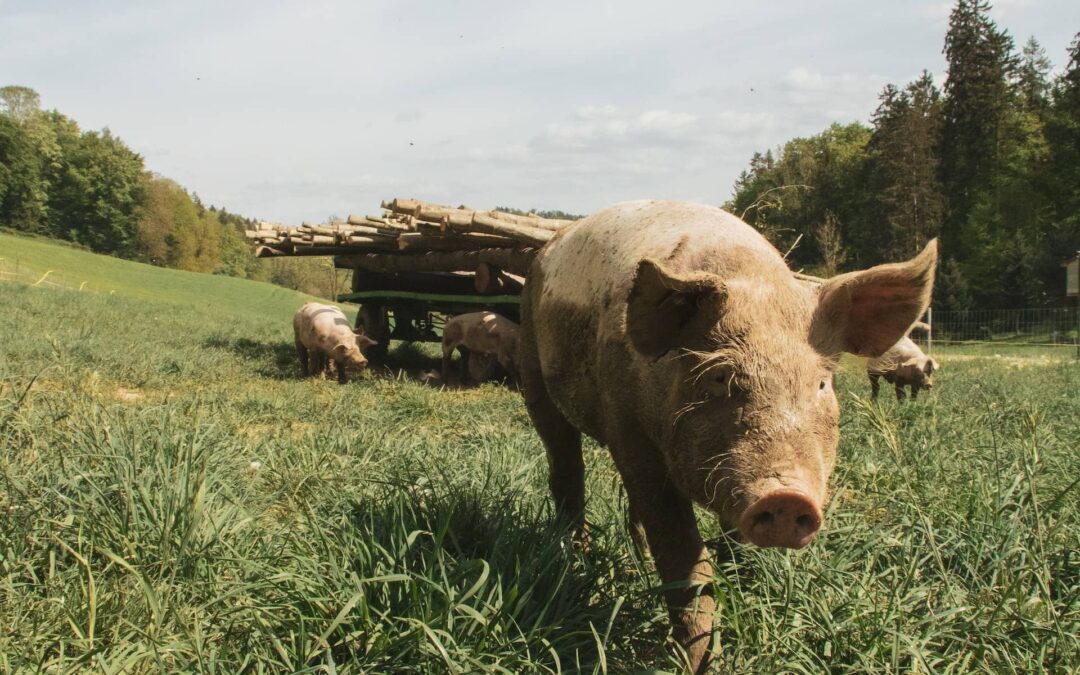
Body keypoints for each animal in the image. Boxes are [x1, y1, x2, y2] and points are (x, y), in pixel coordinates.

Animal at [516, 198, 937, 669]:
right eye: (720, 377)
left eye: (821, 384)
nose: (786, 497)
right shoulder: (630, 431)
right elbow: (684, 557)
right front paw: (701, 661)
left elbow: (728, 537)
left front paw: (745, 583)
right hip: (532, 365)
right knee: (565, 463)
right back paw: (576, 555)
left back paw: (635, 559)